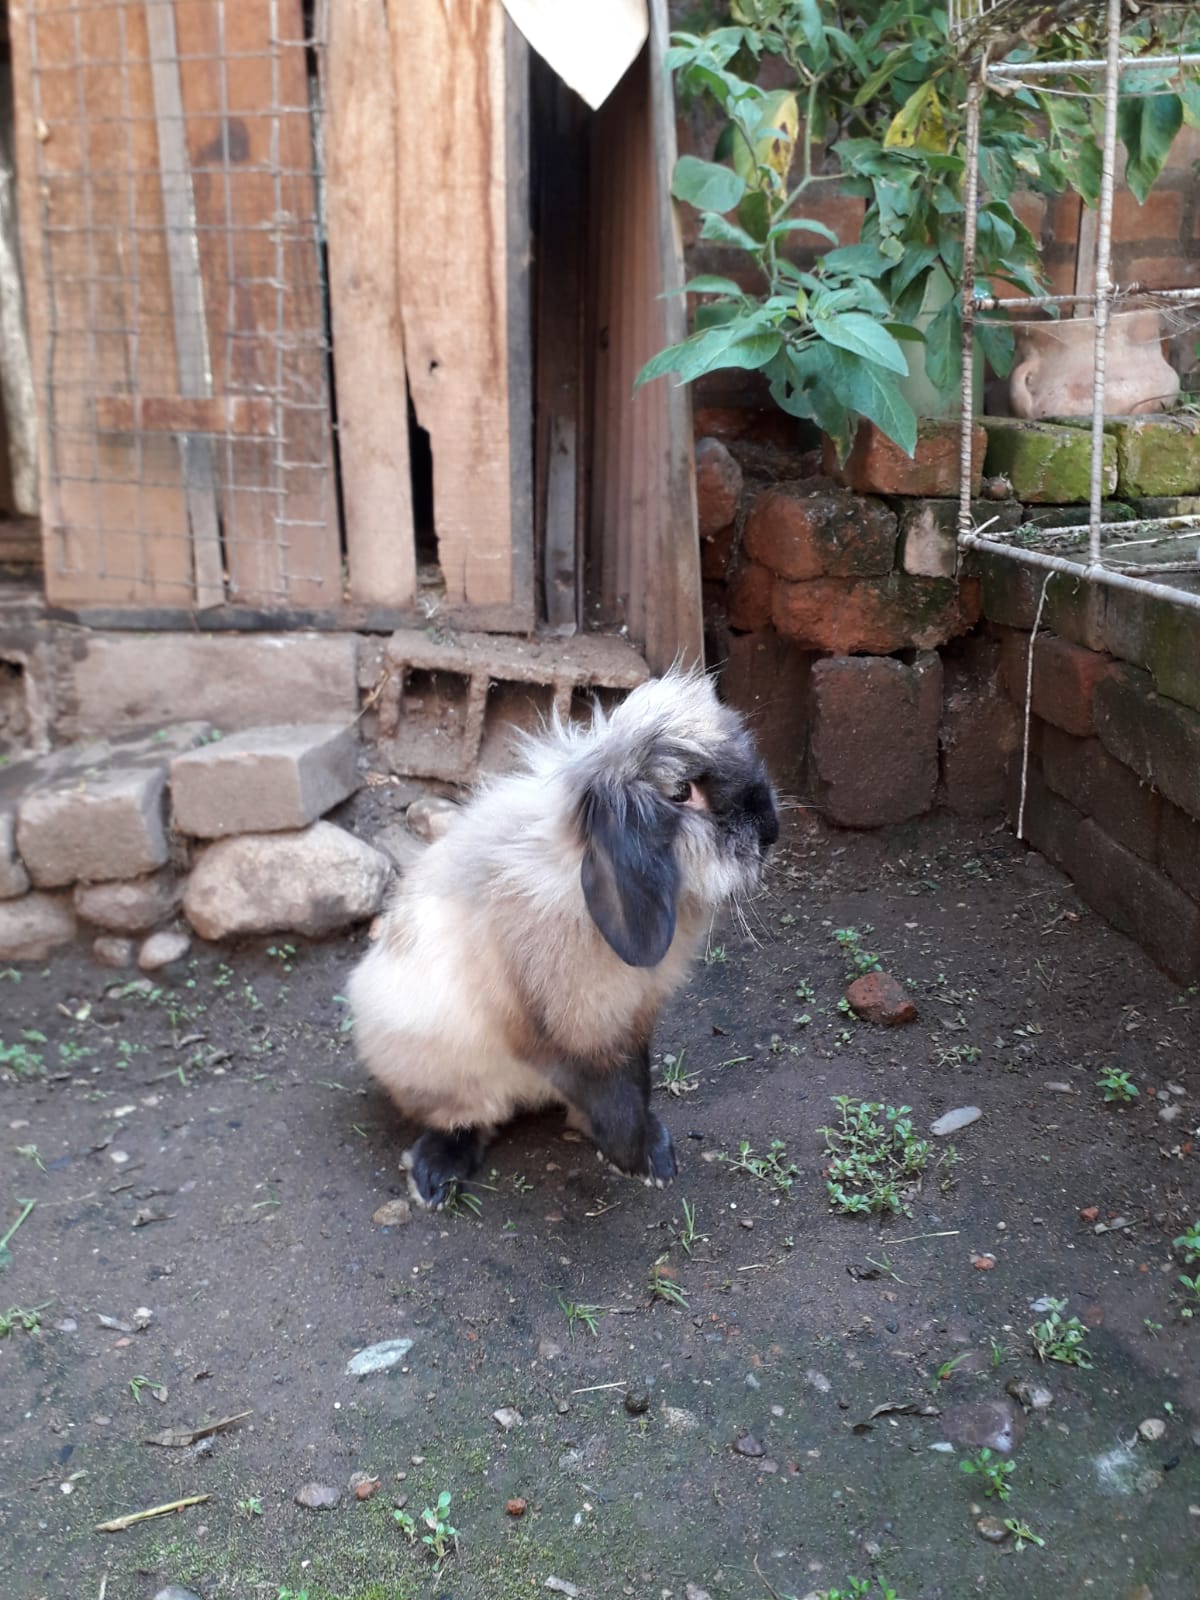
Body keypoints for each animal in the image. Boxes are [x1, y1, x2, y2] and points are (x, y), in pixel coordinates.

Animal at [346, 669, 779, 1208]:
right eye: (682, 792)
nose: (772, 831)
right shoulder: (555, 1032)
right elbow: (611, 1096)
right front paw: (643, 1160)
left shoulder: (630, 1023)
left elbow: (635, 1083)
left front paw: (653, 1155)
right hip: (431, 1068)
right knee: (468, 1118)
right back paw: (435, 1175)